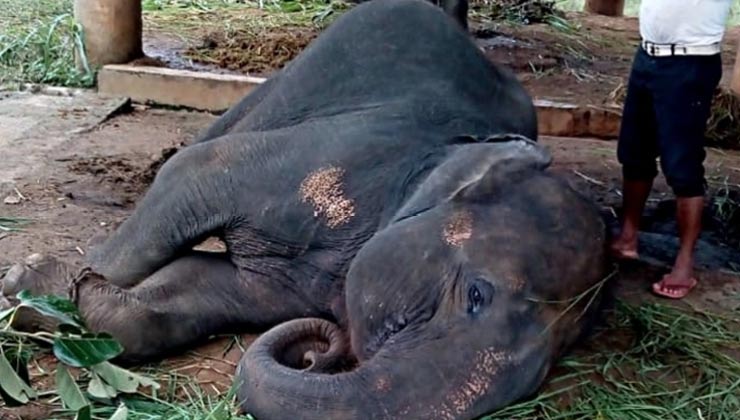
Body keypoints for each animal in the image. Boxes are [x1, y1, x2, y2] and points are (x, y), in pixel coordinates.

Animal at [1, 0, 609, 418]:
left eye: (542, 373)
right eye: (477, 296)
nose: (316, 352)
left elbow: (204, 286)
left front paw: (76, 296)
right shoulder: (331, 157)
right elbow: (194, 176)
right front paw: (29, 287)